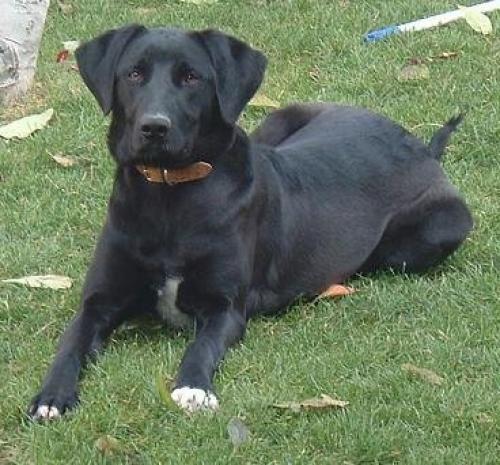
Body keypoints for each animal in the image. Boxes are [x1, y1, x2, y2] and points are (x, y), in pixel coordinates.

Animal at [29, 23, 474, 418]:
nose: (154, 127)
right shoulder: (98, 302)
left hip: (438, 229)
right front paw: (51, 396)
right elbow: (69, 345)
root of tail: (422, 146)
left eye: (191, 77)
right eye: (134, 73)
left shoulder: (226, 308)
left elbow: (202, 346)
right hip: (279, 119)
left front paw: (192, 388)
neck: (169, 196)